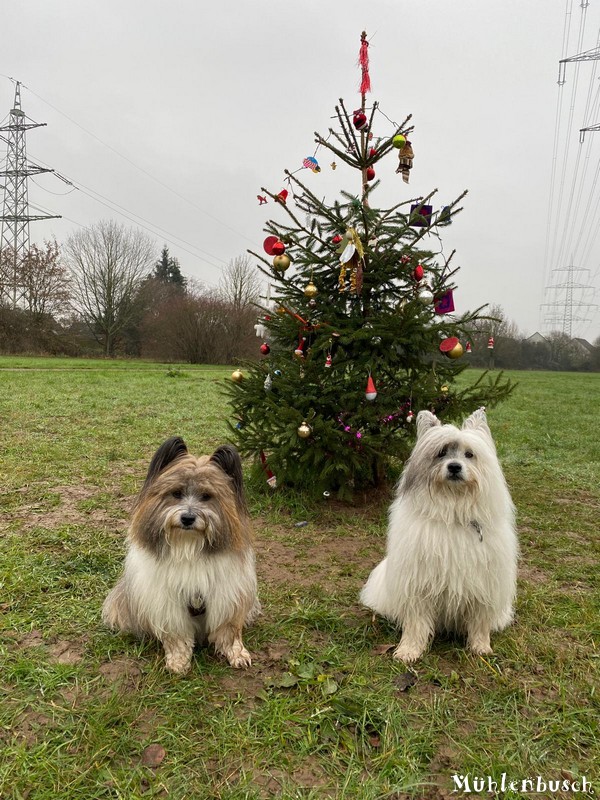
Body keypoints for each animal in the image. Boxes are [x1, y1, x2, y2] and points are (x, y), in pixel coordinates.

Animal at [101, 438, 260, 676]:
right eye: (176, 493)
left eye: (206, 496)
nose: (187, 518)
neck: (188, 547)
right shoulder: (167, 605)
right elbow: (176, 637)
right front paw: (178, 661)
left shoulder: (227, 595)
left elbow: (229, 630)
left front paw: (236, 653)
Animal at [358, 406, 516, 664]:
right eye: (441, 453)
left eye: (469, 454)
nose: (454, 467)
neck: (453, 511)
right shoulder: (417, 587)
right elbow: (416, 625)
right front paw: (409, 650)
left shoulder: (484, 587)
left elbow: (480, 623)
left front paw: (480, 647)